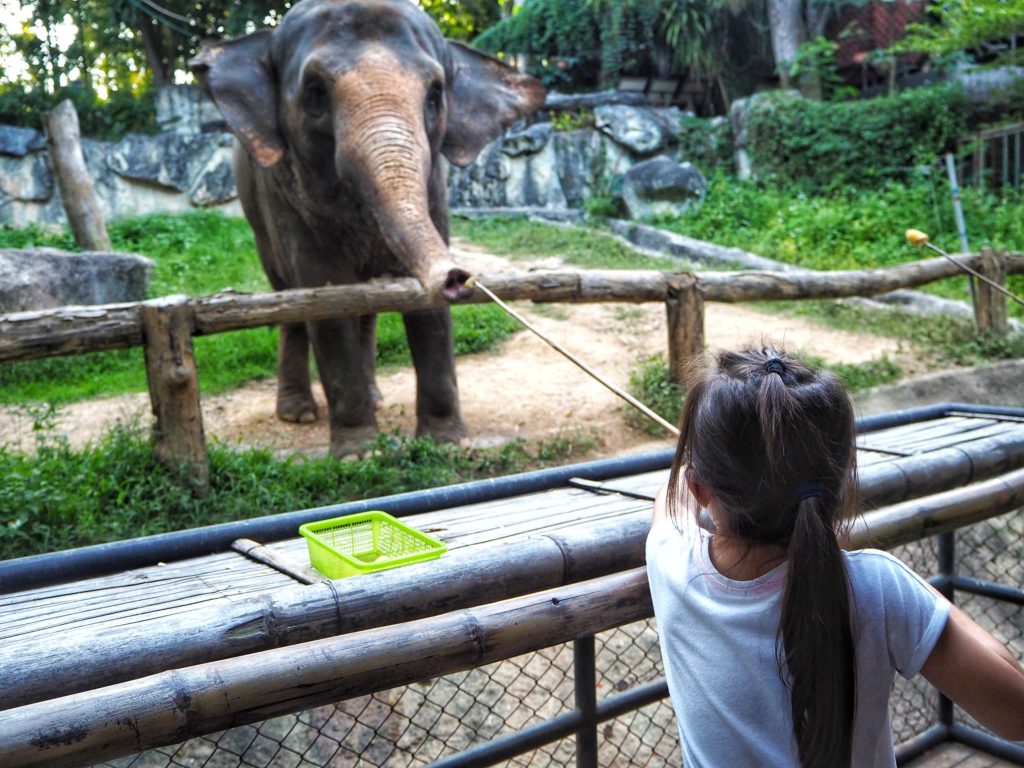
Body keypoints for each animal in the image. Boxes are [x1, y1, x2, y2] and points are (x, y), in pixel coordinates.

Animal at [190, 0, 544, 456]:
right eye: (315, 93)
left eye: (435, 95)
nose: (456, 276)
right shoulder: (285, 194)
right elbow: (323, 297)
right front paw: (359, 453)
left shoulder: (436, 189)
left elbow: (425, 312)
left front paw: (447, 442)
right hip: (258, 221)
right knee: (288, 299)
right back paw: (298, 413)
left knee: (365, 307)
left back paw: (374, 396)